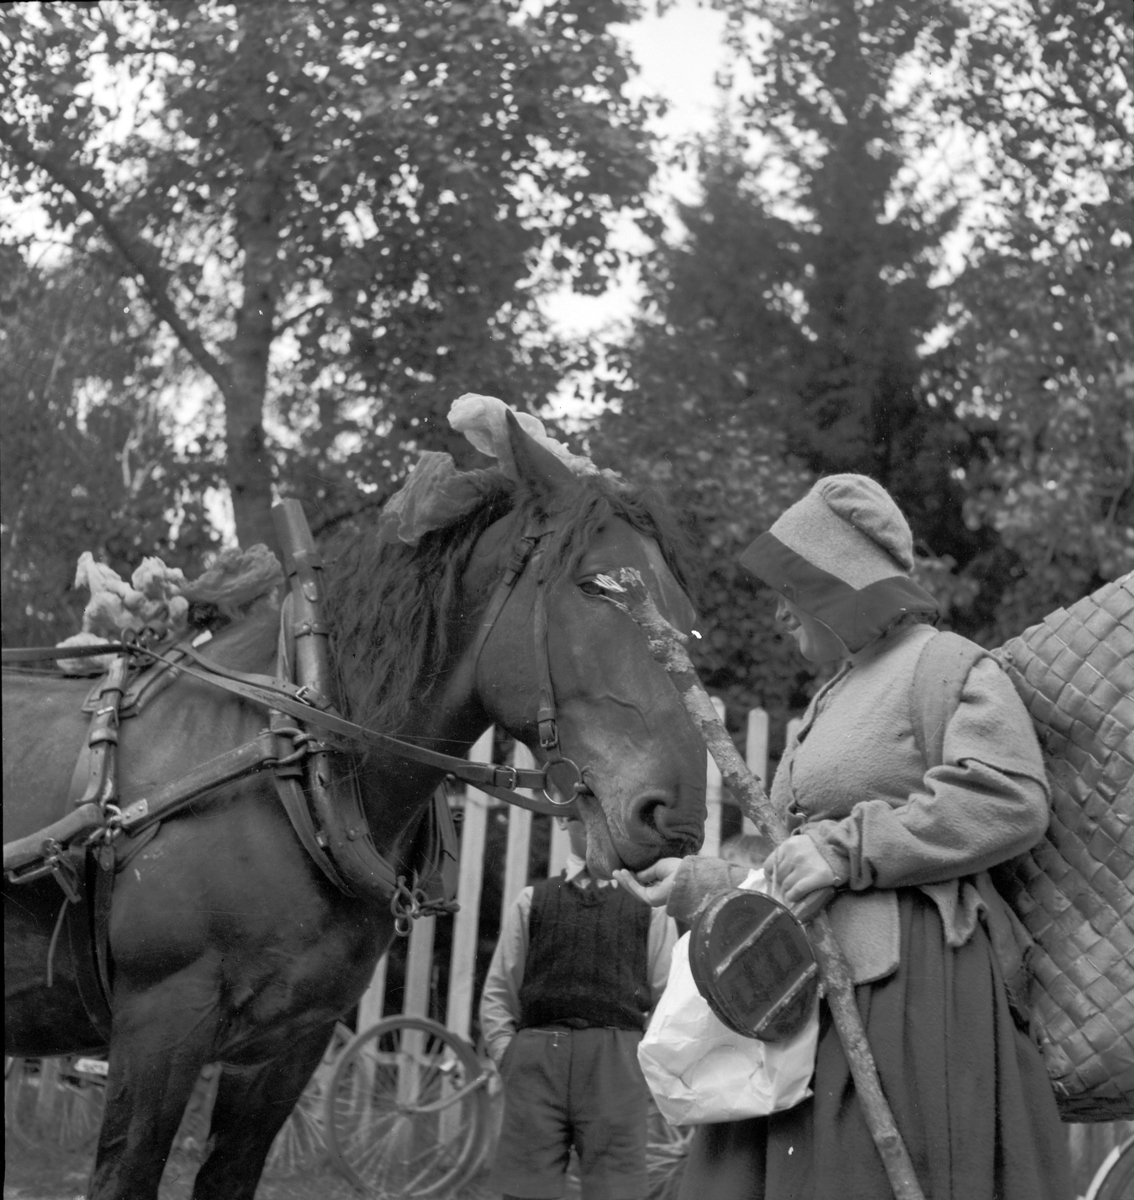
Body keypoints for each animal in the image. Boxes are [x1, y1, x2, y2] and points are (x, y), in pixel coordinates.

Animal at [4, 420, 705, 1190]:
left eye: (684, 614)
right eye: (593, 585)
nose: (677, 813)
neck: (303, 776)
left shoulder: (289, 1046)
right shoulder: (157, 1025)